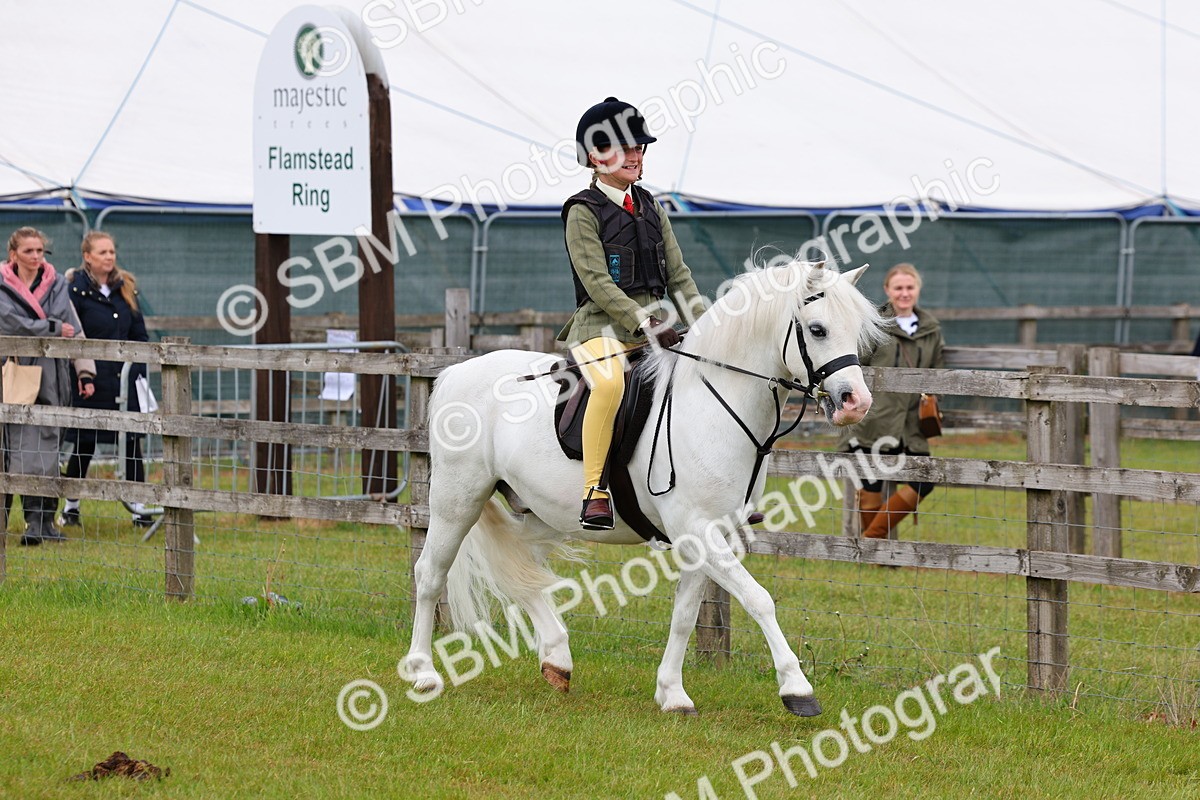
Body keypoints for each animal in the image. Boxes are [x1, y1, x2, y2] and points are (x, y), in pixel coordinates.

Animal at [404, 259, 888, 715]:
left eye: (857, 332)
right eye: (817, 329)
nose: (856, 403)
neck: (715, 404)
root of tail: (455, 372)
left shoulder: (710, 534)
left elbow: (686, 614)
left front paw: (673, 694)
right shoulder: (698, 531)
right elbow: (760, 599)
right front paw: (796, 689)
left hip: (539, 512)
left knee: (521, 568)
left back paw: (557, 658)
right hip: (457, 501)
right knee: (431, 574)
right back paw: (423, 673)